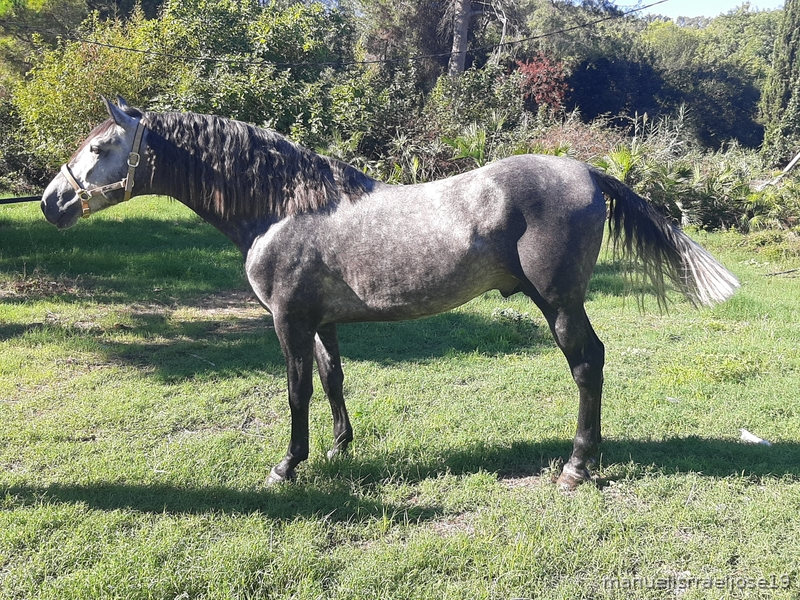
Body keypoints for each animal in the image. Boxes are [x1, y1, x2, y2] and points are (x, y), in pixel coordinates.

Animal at [40, 97, 739, 489]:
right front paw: (340, 448)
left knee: (587, 365)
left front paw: (288, 466)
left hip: (560, 305)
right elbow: (332, 381)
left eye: (101, 146)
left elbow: (295, 393)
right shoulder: (321, 320)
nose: (51, 201)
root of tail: (589, 171)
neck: (283, 208)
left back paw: (576, 468)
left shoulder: (288, 321)